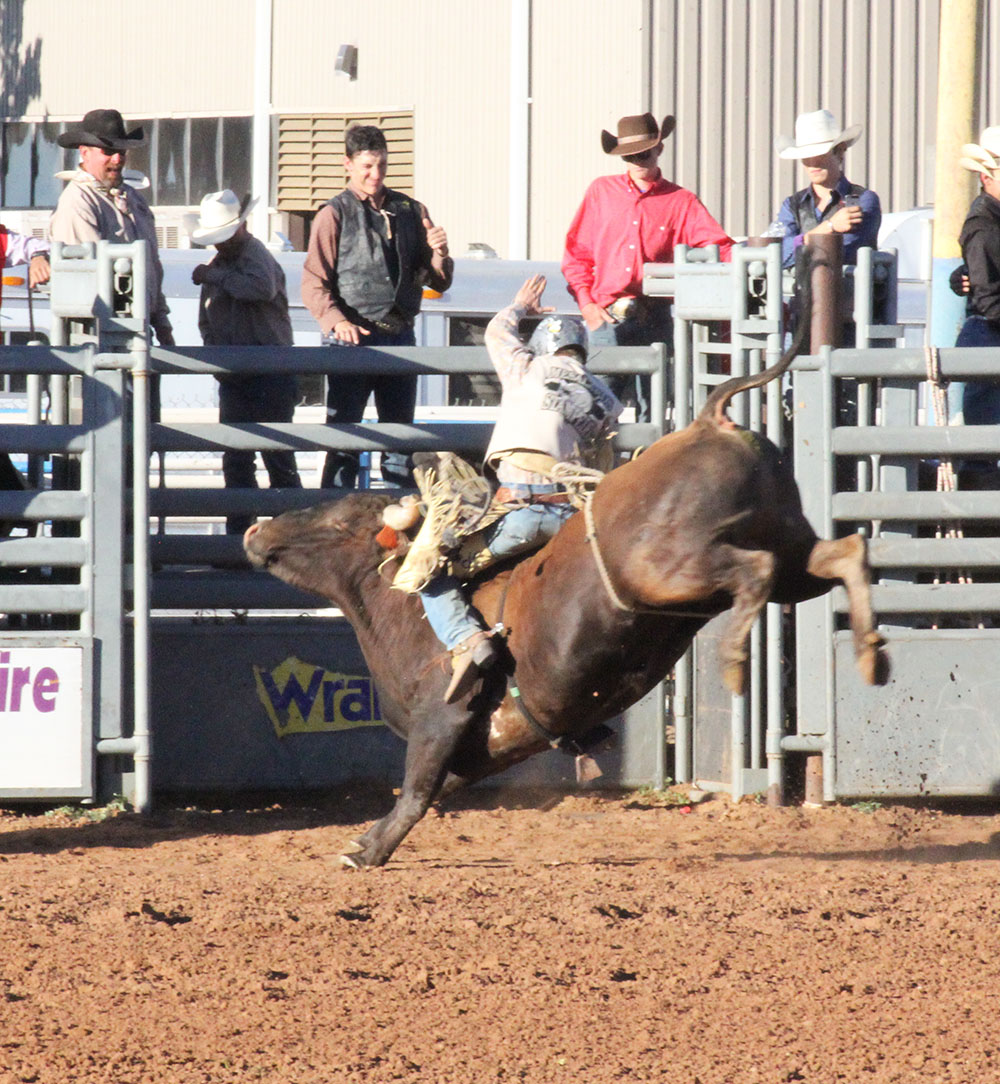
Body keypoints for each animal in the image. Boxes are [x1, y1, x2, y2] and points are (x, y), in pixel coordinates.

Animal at [245, 316, 888, 867]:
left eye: (337, 520)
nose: (256, 531)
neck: (399, 606)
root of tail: (710, 421)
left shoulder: (442, 718)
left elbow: (417, 790)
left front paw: (369, 850)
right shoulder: (483, 745)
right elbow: (433, 789)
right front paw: (366, 840)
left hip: (673, 567)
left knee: (752, 571)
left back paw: (735, 658)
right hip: (790, 551)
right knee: (841, 554)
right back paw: (870, 654)